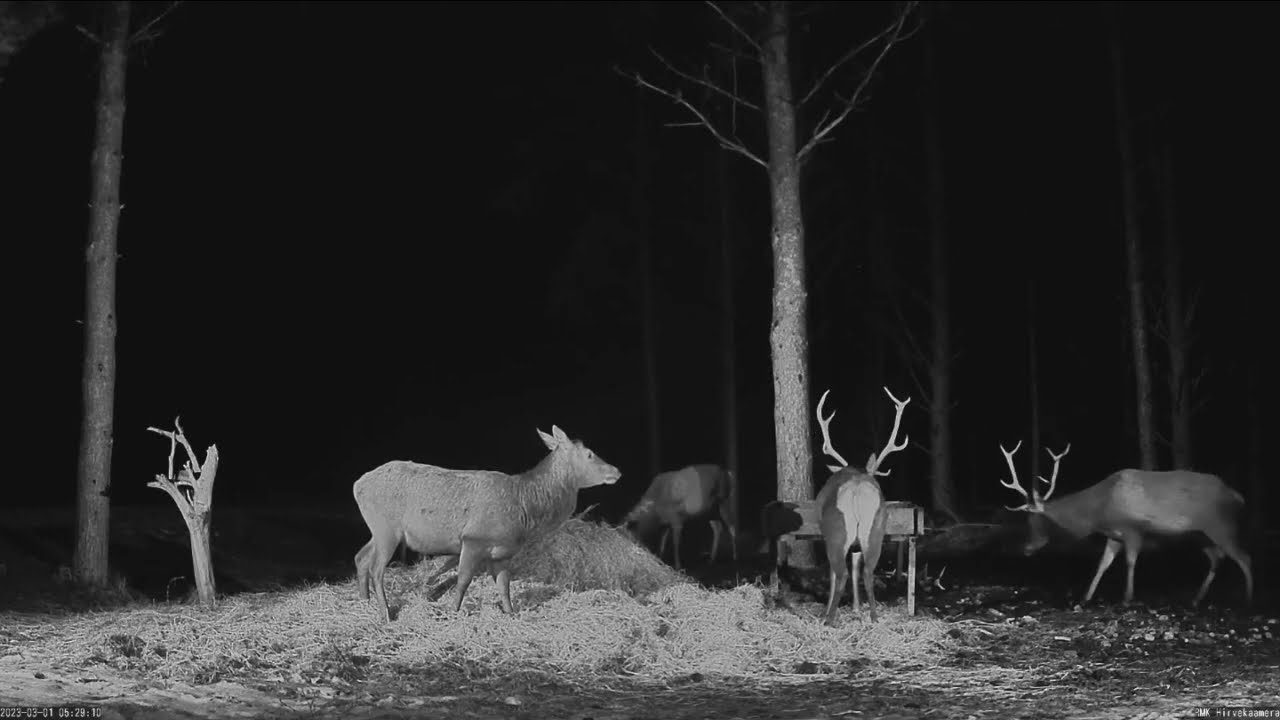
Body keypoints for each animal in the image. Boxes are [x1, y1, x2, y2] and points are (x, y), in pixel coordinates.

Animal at [353, 425, 621, 621]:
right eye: (589, 454)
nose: (617, 471)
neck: (525, 511)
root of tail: (357, 485)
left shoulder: (502, 553)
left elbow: (504, 585)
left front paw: (511, 613)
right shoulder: (473, 539)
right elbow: (463, 580)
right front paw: (453, 611)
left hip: (377, 530)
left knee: (361, 557)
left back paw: (364, 601)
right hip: (387, 529)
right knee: (377, 568)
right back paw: (386, 613)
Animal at [814, 387, 911, 624]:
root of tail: (857, 491)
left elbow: (835, 573)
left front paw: (829, 610)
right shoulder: (859, 542)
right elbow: (857, 566)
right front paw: (857, 608)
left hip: (836, 530)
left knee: (840, 573)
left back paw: (829, 619)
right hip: (875, 527)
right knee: (867, 571)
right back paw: (874, 617)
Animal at [998, 441, 1253, 607]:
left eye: (1036, 520)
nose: (1026, 549)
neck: (1098, 512)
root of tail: (1238, 497)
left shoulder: (1134, 529)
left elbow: (1130, 561)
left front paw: (1128, 598)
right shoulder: (1114, 535)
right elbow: (1103, 564)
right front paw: (1086, 596)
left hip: (1221, 526)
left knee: (1245, 557)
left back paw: (1249, 598)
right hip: (1200, 535)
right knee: (1217, 558)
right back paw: (1196, 599)